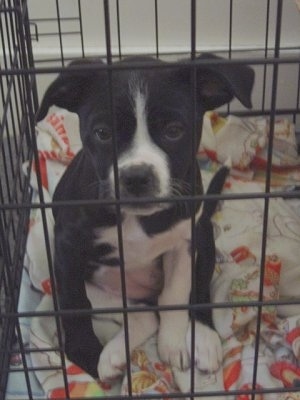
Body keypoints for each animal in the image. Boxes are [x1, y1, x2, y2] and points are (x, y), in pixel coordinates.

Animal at [36, 54, 254, 382]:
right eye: (103, 133)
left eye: (174, 130)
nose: (136, 177)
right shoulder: (66, 248)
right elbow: (75, 304)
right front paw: (85, 353)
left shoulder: (184, 241)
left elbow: (176, 295)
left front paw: (174, 344)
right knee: (141, 314)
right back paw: (113, 355)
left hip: (204, 237)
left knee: (194, 292)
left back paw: (203, 338)